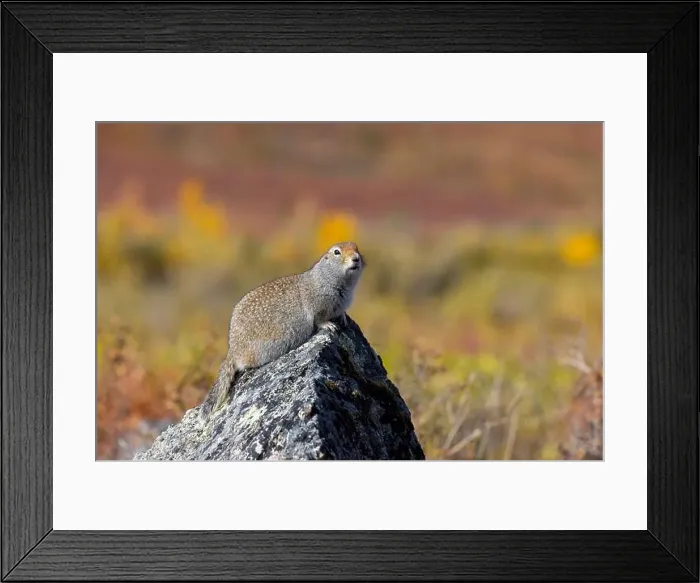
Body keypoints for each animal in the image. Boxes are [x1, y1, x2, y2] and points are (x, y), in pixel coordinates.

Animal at [202, 241, 365, 416]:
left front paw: (343, 317)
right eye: (336, 252)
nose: (356, 258)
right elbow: (319, 319)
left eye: (356, 248)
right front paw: (329, 325)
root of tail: (232, 351)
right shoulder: (318, 305)